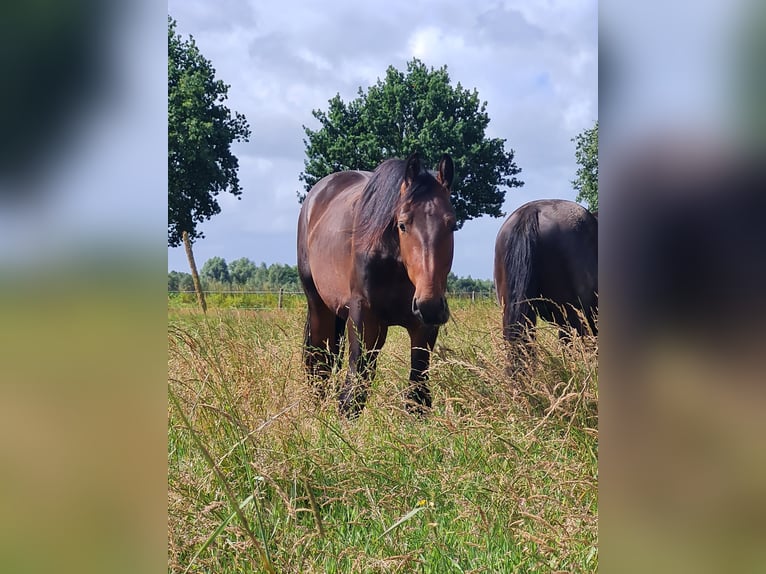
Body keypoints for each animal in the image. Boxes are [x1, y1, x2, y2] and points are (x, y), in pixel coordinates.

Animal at [298, 153, 456, 418]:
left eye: (452, 224)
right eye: (402, 224)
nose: (430, 305)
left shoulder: (422, 327)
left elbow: (418, 391)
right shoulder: (364, 316)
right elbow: (353, 390)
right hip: (319, 305)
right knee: (320, 361)